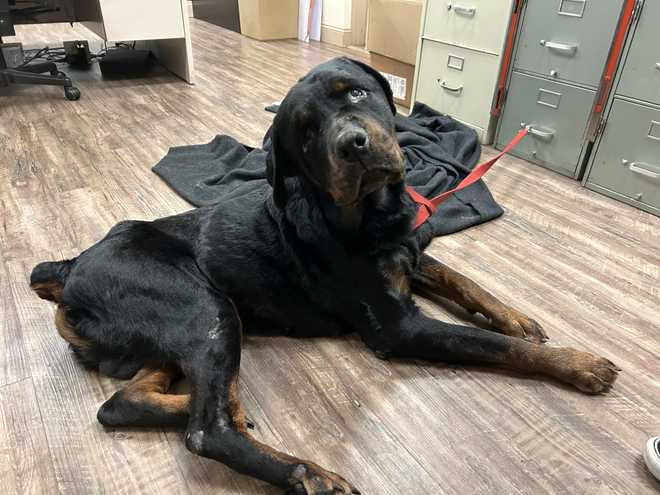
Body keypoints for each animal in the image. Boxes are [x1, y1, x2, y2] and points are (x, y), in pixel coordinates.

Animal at [31, 59, 620, 495]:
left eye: (356, 94)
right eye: (306, 131)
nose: (353, 144)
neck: (370, 212)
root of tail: (70, 267)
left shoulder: (408, 250)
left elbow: (465, 282)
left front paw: (516, 317)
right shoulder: (398, 327)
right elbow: (489, 344)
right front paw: (578, 363)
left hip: (174, 332)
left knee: (125, 403)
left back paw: (226, 408)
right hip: (203, 306)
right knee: (205, 431)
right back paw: (305, 473)